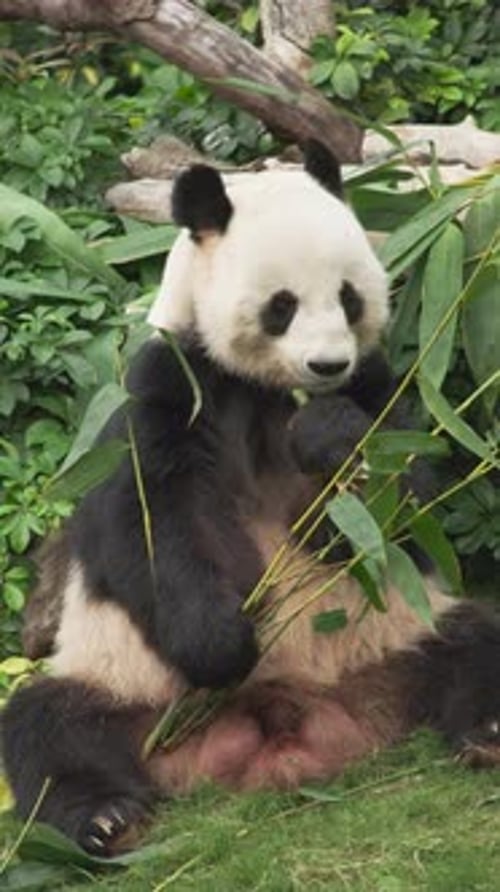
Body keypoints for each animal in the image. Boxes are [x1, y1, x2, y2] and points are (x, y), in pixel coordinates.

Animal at [3, 141, 500, 856]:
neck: (265, 391)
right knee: (48, 729)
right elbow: (147, 521)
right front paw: (225, 644)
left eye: (348, 297)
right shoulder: (171, 385)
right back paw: (108, 819)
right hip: (121, 678)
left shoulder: (375, 388)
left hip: (404, 627)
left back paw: (487, 735)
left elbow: (397, 512)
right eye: (282, 305)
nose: (327, 366)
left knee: (478, 645)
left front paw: (330, 437)